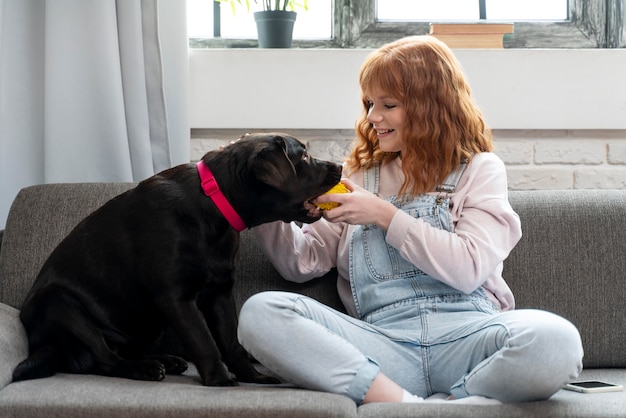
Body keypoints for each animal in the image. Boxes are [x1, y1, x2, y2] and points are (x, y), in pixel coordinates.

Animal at [11, 133, 342, 386]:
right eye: (303, 157)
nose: (339, 166)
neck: (212, 206)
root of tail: (46, 349)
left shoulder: (220, 292)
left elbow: (231, 342)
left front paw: (253, 377)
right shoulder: (175, 297)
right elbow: (204, 341)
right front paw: (220, 380)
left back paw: (166, 361)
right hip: (58, 302)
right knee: (104, 358)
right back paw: (143, 368)